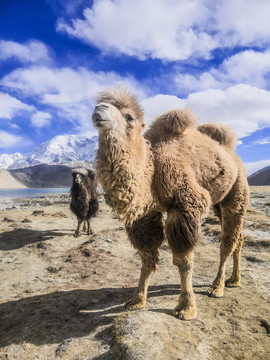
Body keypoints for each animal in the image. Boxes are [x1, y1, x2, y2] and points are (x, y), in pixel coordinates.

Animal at [91, 88, 249, 320]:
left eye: (129, 117)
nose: (99, 109)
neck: (152, 168)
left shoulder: (186, 205)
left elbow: (183, 261)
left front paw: (186, 307)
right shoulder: (145, 214)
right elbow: (147, 257)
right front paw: (137, 300)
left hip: (237, 193)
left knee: (227, 242)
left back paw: (217, 287)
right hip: (218, 204)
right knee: (239, 238)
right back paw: (234, 280)